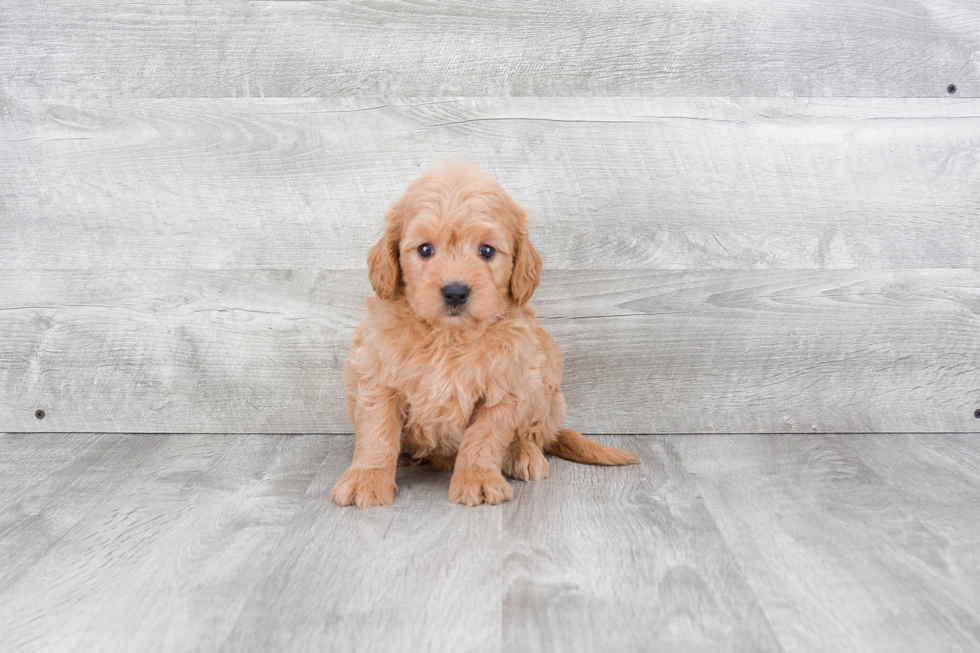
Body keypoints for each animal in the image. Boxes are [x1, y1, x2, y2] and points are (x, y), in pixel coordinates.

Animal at [334, 164, 640, 510]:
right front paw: (368, 477)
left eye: (486, 251)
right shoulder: (378, 376)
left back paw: (522, 454)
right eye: (425, 249)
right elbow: (378, 433)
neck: (449, 337)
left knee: (534, 435)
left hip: (544, 380)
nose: (455, 291)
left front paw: (478, 479)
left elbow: (485, 438)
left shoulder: (504, 386)